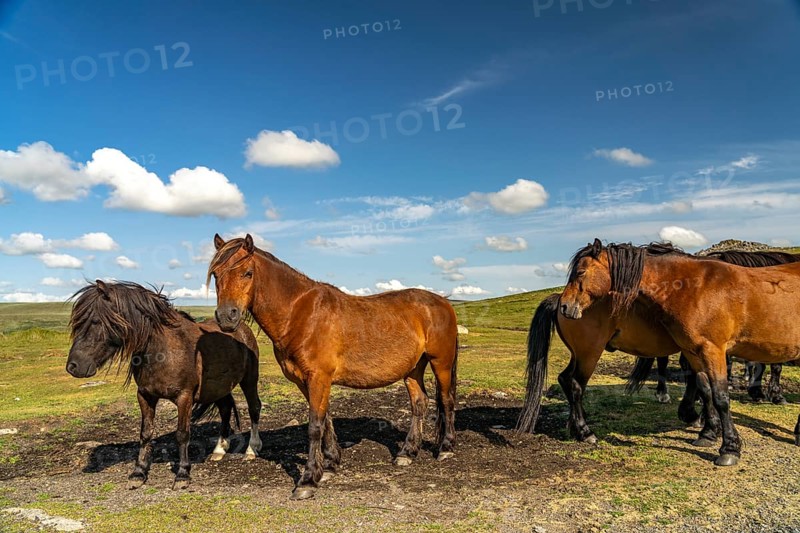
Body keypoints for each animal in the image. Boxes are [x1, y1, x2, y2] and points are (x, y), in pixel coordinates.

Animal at [65, 280, 262, 489]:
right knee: (225, 409)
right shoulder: (145, 396)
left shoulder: (184, 397)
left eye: (95, 321)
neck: (162, 351)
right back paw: (219, 450)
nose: (73, 366)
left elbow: (182, 434)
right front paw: (139, 472)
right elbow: (145, 433)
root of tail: (242, 329)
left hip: (249, 380)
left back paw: (252, 450)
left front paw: (182, 474)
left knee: (254, 407)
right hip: (218, 388)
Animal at [206, 234, 459, 500]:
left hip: (440, 363)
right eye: (216, 275)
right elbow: (325, 419)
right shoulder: (306, 381)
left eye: (247, 273)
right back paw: (407, 452)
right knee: (419, 403)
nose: (226, 317)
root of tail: (443, 303)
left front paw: (307, 480)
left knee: (446, 400)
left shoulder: (319, 377)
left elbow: (314, 426)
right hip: (413, 369)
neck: (299, 314)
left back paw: (446, 447)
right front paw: (329, 464)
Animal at [550, 239, 800, 466]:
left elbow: (719, 396)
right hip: (588, 353)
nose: (565, 306)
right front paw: (709, 433)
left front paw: (727, 447)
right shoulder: (696, 351)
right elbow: (706, 390)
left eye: (580, 272)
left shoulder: (711, 350)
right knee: (572, 382)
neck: (695, 288)